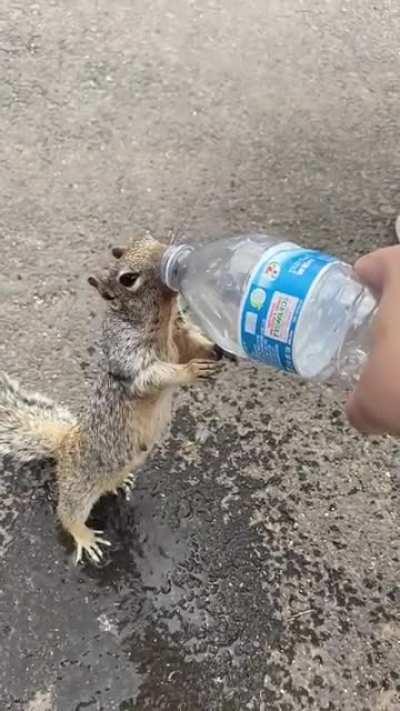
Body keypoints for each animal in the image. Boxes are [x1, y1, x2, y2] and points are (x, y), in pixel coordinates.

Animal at [0, 233, 225, 564]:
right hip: (79, 486)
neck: (163, 320)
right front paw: (190, 371)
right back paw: (85, 537)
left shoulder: (180, 334)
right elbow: (153, 376)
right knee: (68, 513)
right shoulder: (129, 357)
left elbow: (193, 344)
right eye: (128, 279)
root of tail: (63, 445)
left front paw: (217, 349)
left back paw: (121, 482)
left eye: (149, 238)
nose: (168, 255)